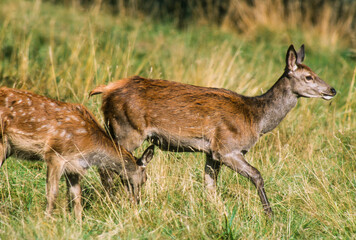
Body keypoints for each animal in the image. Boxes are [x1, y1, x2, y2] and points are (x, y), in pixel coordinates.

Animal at [0, 86, 154, 219]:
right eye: (145, 179)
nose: (137, 201)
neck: (89, 144)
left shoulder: (74, 165)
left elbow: (76, 197)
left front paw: (79, 223)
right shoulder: (55, 155)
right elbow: (52, 193)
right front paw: (46, 220)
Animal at [89, 44, 336, 216]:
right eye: (308, 76)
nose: (332, 89)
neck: (256, 119)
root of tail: (106, 90)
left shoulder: (210, 152)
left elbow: (209, 185)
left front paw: (217, 213)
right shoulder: (226, 148)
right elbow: (257, 175)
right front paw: (270, 215)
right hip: (127, 130)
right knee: (107, 167)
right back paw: (110, 201)